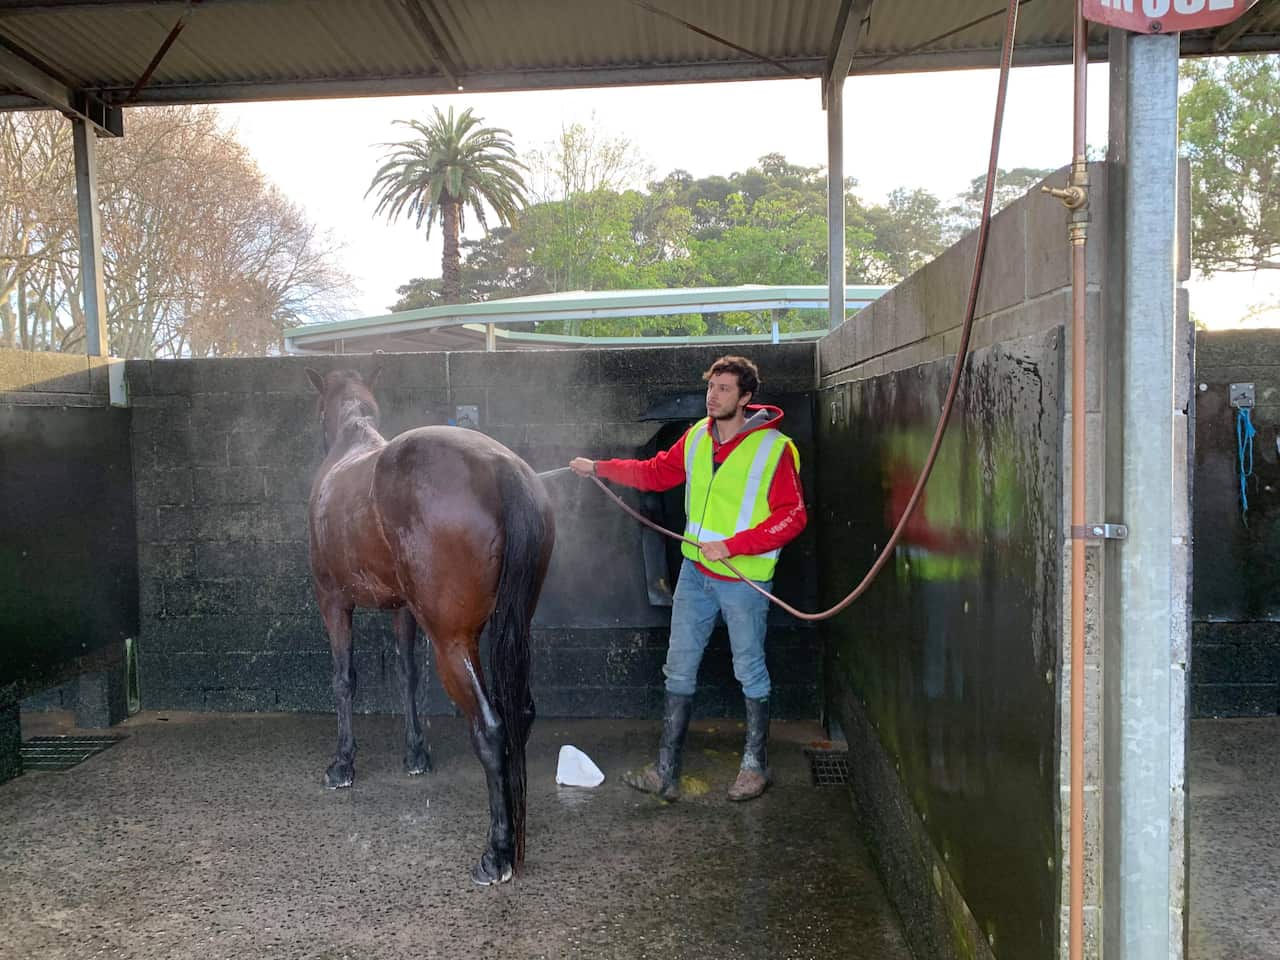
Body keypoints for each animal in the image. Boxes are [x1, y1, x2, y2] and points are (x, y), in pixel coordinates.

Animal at [304, 367, 555, 885]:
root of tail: (501, 467)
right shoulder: (402, 608)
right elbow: (406, 676)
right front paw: (415, 753)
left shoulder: (332, 600)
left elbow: (344, 679)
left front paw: (343, 764)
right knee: (519, 716)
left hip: (452, 643)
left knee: (491, 728)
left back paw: (497, 853)